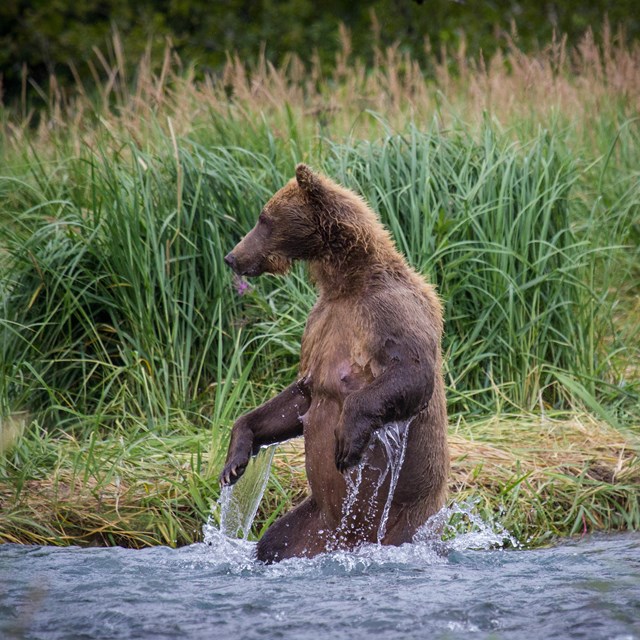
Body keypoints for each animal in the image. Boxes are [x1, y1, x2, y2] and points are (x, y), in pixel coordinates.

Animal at [220, 164, 449, 563]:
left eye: (264, 218)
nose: (233, 257)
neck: (345, 281)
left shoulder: (386, 313)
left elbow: (411, 372)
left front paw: (346, 439)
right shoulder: (320, 325)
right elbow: (299, 396)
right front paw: (235, 459)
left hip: (405, 520)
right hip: (312, 522)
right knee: (276, 539)